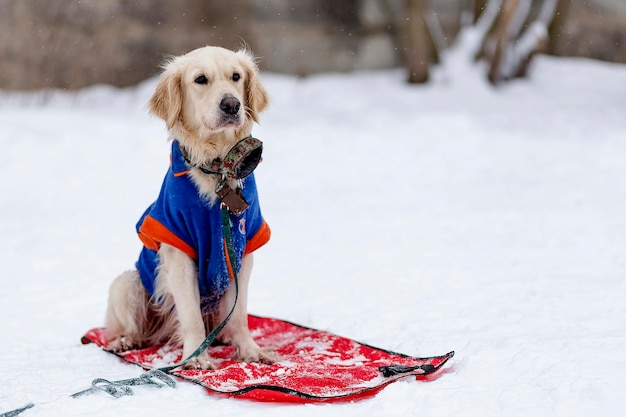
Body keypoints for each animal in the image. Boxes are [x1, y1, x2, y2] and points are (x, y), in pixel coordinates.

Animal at [103, 45, 272, 368]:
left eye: (236, 76)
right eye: (201, 79)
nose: (231, 104)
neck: (218, 167)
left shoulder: (243, 249)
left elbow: (240, 315)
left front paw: (249, 350)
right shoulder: (178, 252)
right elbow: (191, 315)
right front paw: (197, 356)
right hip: (126, 283)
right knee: (133, 329)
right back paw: (127, 340)